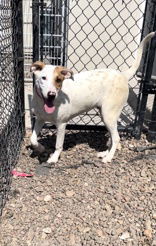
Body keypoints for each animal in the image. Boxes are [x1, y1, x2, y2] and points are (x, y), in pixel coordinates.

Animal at [30, 32, 155, 163]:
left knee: (116, 138)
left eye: (58, 80)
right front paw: (41, 148)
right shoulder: (40, 119)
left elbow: (58, 145)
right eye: (43, 78)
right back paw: (105, 153)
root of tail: (122, 75)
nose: (51, 94)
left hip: (109, 115)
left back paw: (108, 157)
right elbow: (32, 139)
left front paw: (54, 158)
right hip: (106, 115)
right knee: (112, 137)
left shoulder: (61, 123)